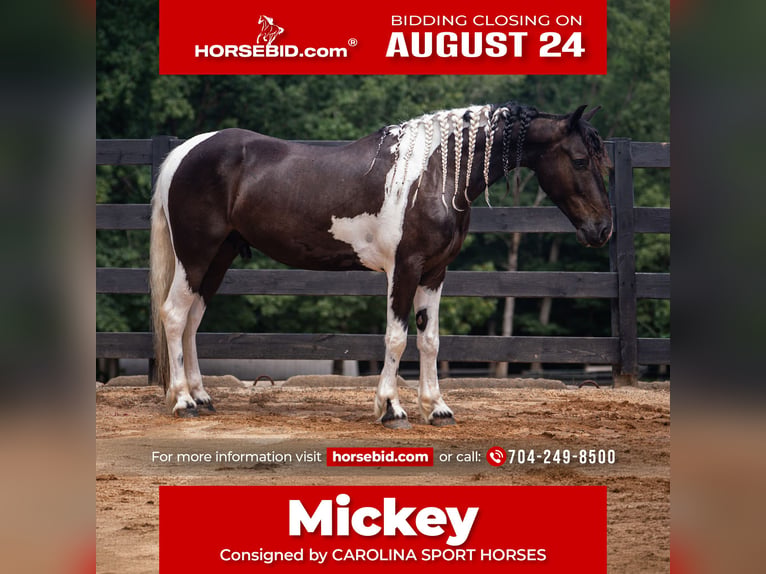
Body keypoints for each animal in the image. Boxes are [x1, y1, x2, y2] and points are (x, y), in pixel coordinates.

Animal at [150, 102, 613, 426]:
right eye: (579, 160)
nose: (602, 229)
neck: (435, 175)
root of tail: (185, 152)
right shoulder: (404, 270)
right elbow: (396, 338)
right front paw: (391, 409)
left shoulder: (435, 273)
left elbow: (430, 341)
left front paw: (437, 409)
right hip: (196, 255)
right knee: (174, 315)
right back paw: (184, 401)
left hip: (219, 257)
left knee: (192, 320)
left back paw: (202, 397)